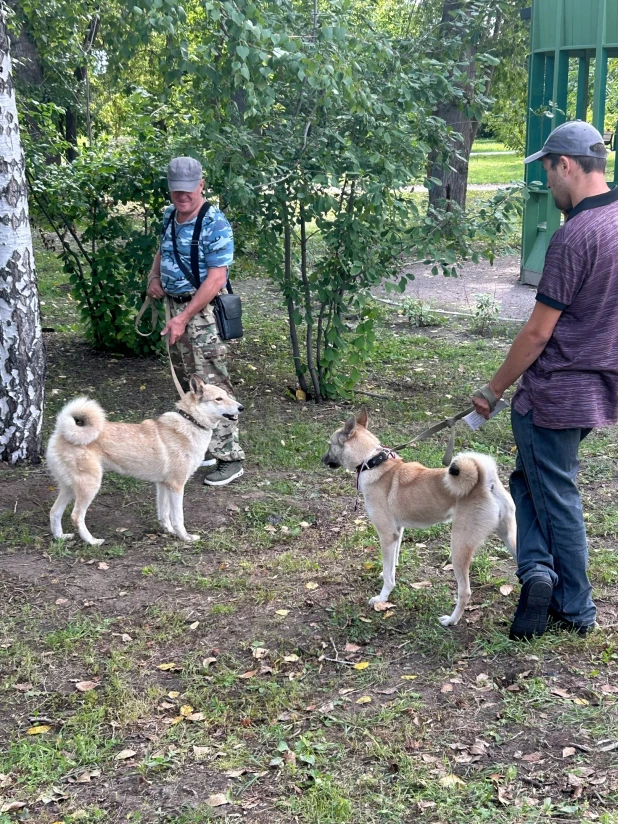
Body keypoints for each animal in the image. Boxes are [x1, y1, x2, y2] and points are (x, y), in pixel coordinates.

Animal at [47, 374, 243, 548]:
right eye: (218, 399)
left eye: (227, 395)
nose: (242, 408)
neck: (191, 421)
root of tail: (60, 431)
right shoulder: (177, 486)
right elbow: (178, 517)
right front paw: (185, 538)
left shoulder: (163, 485)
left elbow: (164, 513)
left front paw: (168, 531)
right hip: (89, 485)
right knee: (76, 516)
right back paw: (92, 541)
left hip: (69, 488)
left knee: (54, 512)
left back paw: (60, 538)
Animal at [322, 408, 516, 628]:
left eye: (329, 444)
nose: (322, 459)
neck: (372, 463)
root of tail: (485, 482)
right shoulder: (397, 532)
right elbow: (392, 564)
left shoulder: (386, 534)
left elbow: (388, 574)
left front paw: (382, 597)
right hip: (510, 538)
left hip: (459, 546)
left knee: (465, 592)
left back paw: (451, 620)